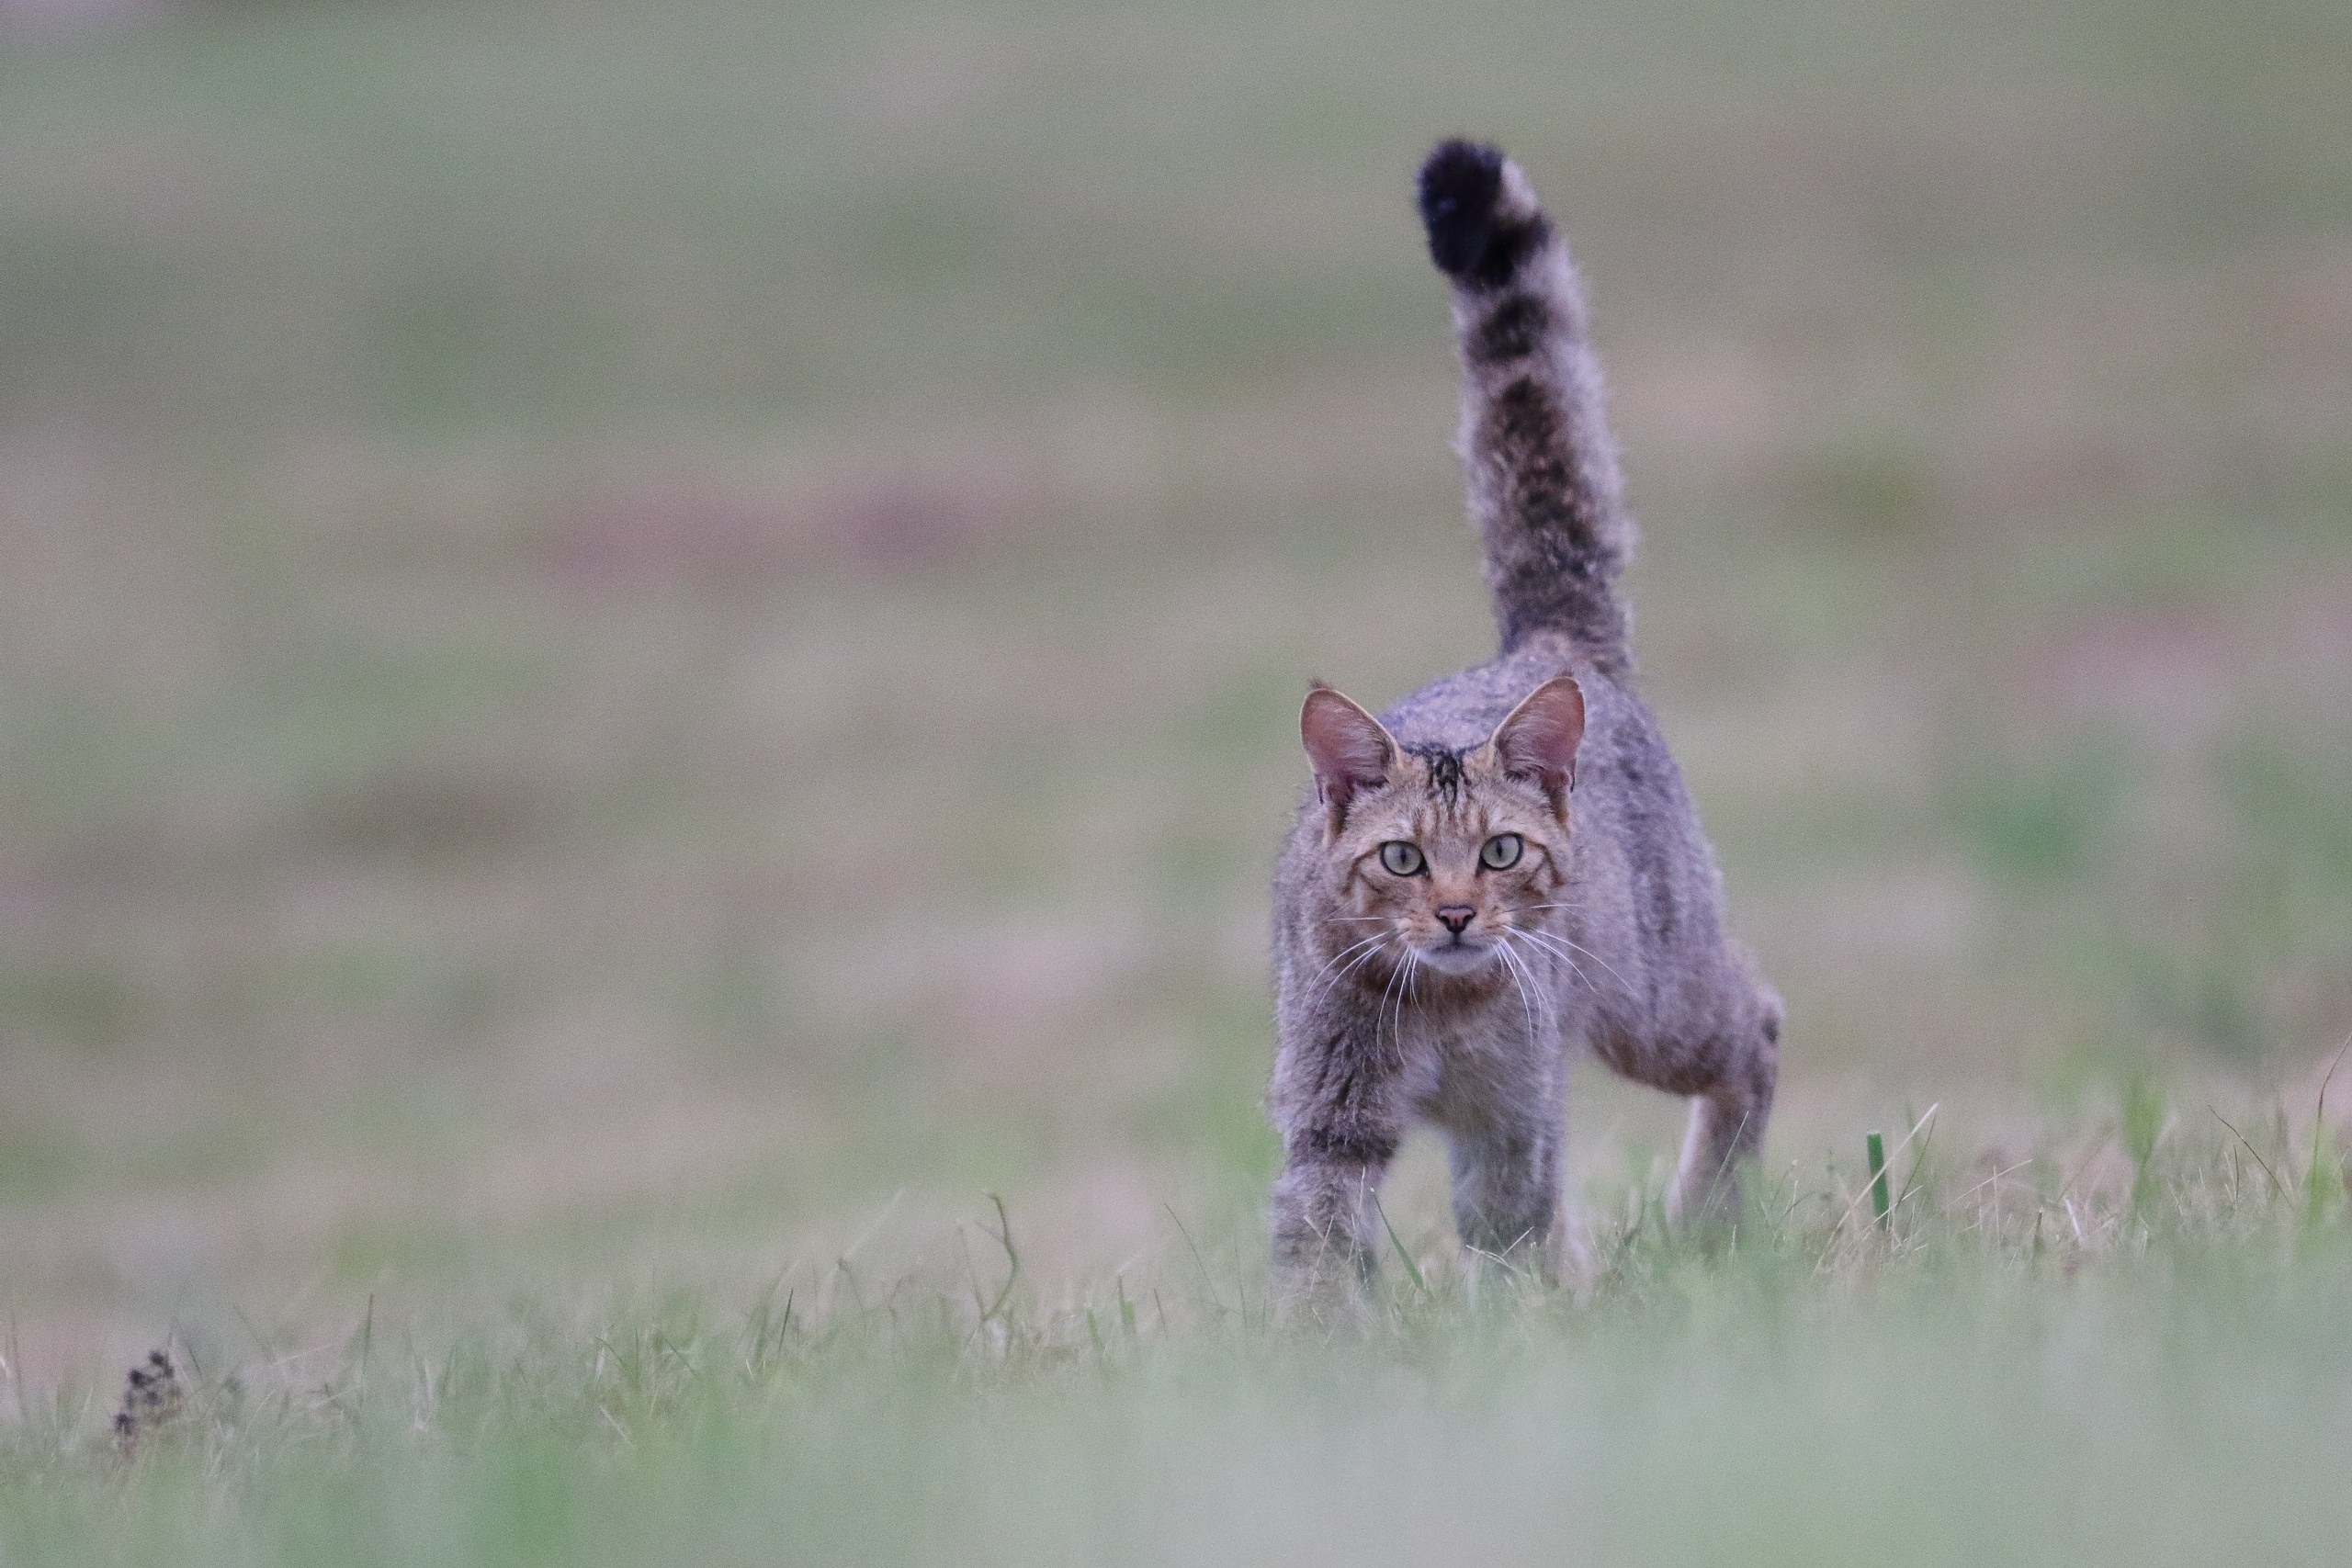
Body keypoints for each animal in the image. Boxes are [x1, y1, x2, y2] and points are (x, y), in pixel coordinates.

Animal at [1270, 143, 1778, 1297]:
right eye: (1402, 859)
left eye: (1501, 851)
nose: (1459, 915)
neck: (1442, 1011)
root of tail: (1548, 643)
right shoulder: (1330, 1114)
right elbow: (1317, 1250)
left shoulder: (1513, 1117)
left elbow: (1509, 1233)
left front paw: (1518, 1323)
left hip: (1654, 1002)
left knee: (1760, 1024)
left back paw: (1705, 1216)